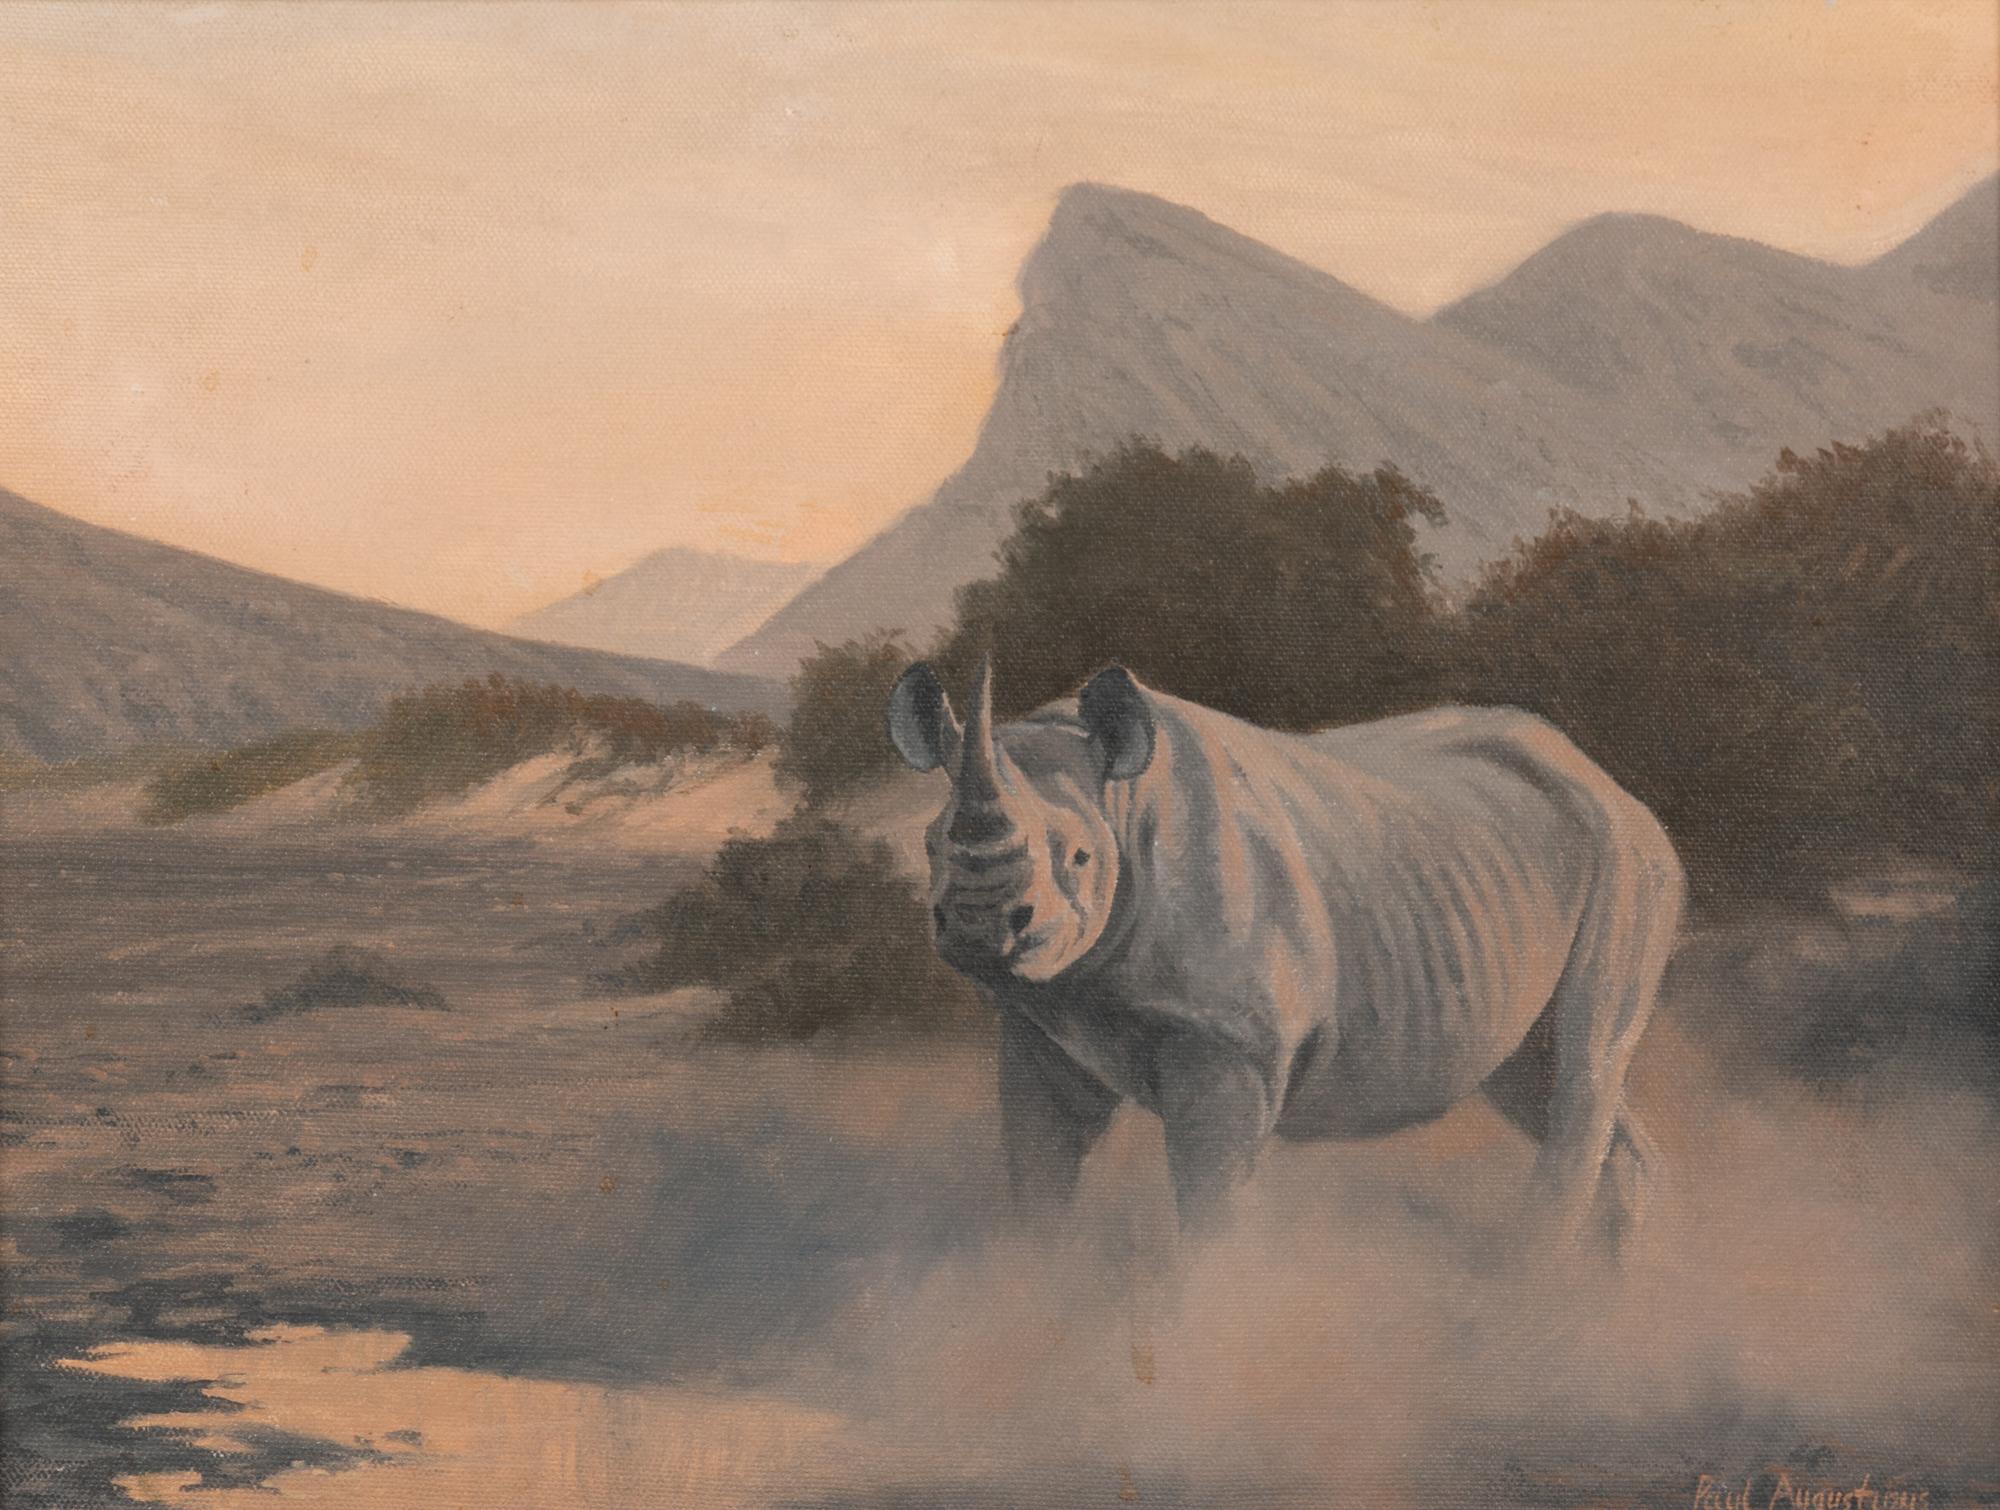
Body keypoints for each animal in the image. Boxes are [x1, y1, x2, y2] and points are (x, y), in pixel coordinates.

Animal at [887, 656, 1683, 1252]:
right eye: (929, 846)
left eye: (1080, 857)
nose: (979, 925)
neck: (1120, 802)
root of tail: (1608, 780)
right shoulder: (1043, 1022)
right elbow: (1040, 1172)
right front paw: (1032, 1304)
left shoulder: (1232, 1044)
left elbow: (1210, 1213)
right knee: (1528, 1070)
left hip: (1630, 861)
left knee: (1583, 1061)